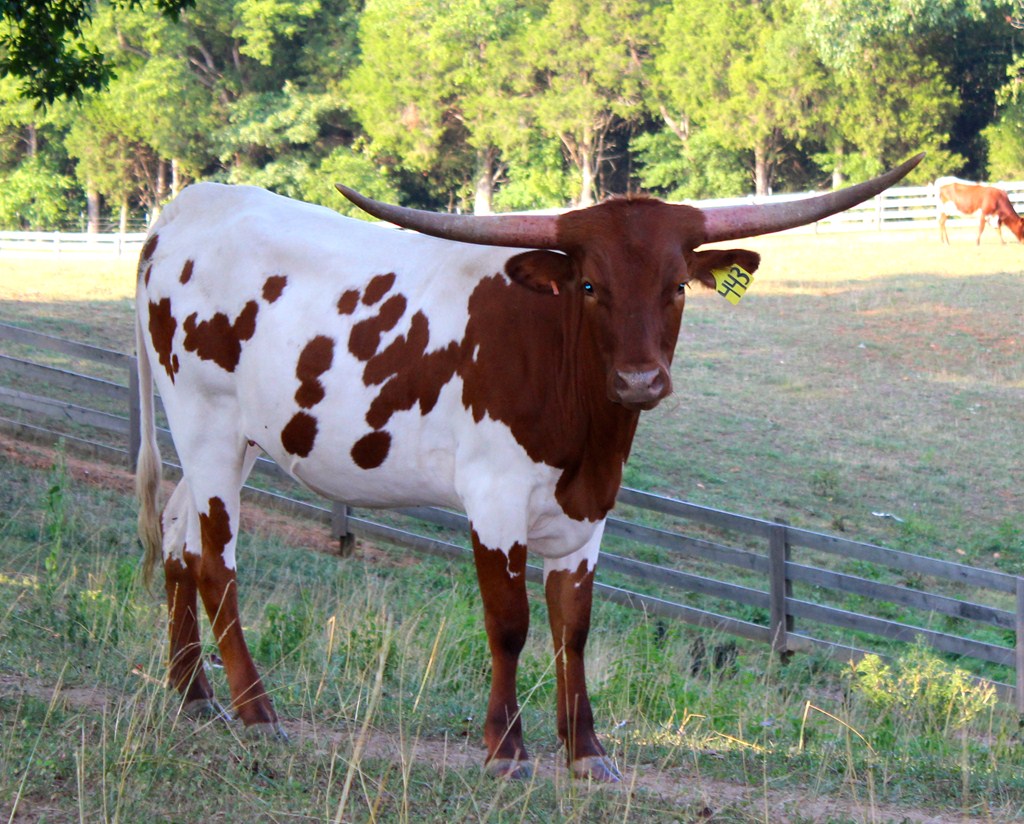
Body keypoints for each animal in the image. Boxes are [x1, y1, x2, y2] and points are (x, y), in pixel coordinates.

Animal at [135, 153, 922, 782]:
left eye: (676, 286)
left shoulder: (589, 512)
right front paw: (506, 750)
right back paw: (255, 708)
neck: (587, 429)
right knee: (215, 562)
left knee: (177, 538)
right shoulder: (494, 496)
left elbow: (573, 627)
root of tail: (185, 208)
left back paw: (193, 695)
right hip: (205, 425)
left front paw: (586, 751)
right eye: (591, 287)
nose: (640, 380)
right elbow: (509, 622)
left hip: (230, 444)